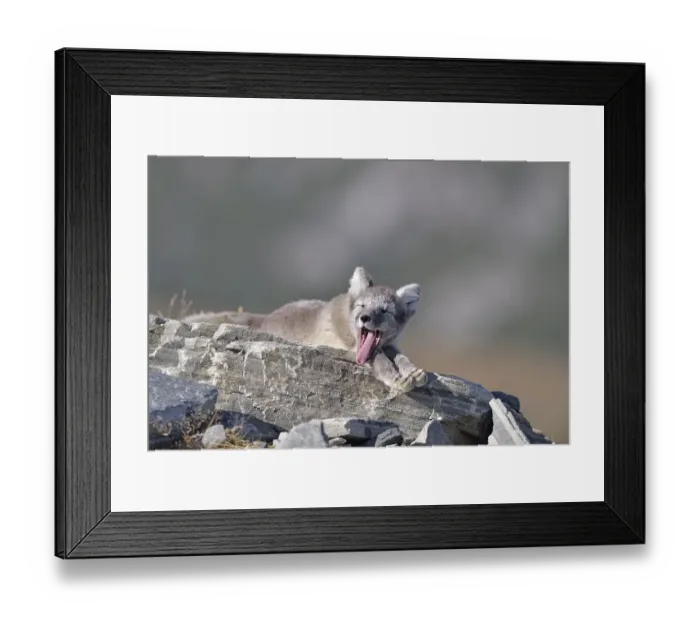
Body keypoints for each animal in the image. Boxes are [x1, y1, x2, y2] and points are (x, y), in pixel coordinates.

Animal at [185, 267, 428, 394]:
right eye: (361, 306)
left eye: (385, 311)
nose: (364, 318)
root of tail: (265, 319)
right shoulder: (350, 347)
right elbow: (379, 359)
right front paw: (397, 378)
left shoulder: (389, 344)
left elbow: (400, 356)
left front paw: (413, 372)